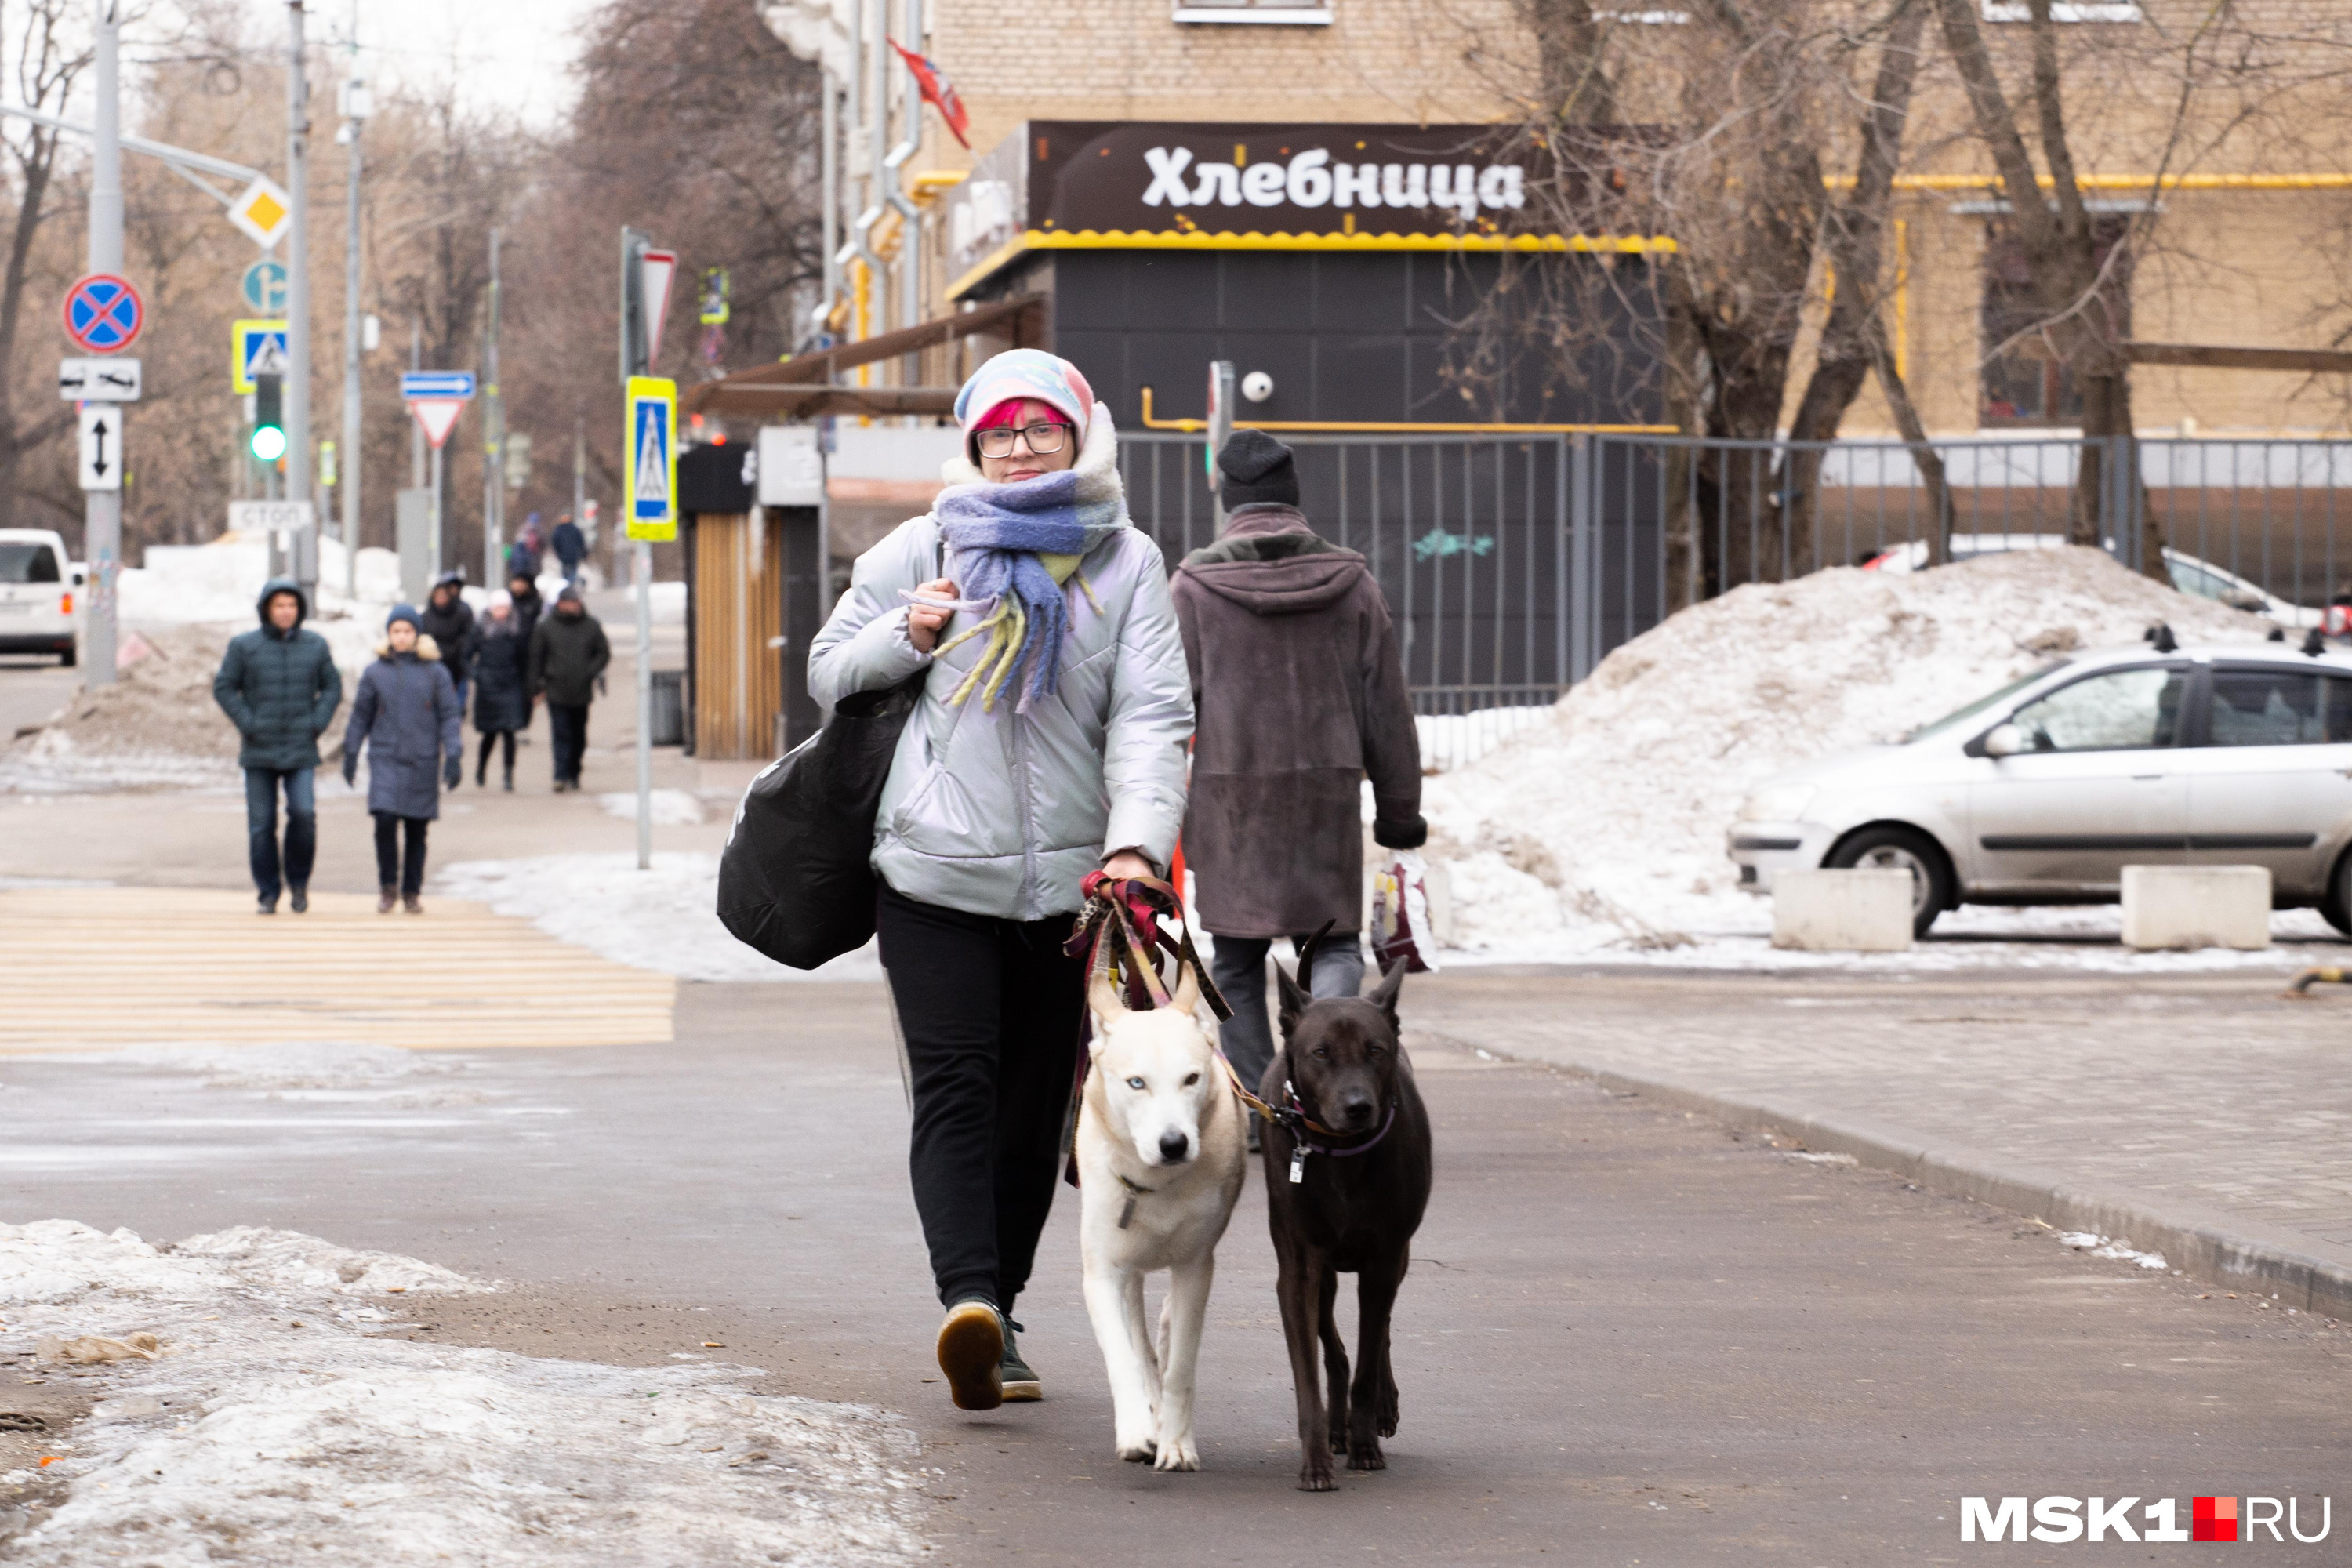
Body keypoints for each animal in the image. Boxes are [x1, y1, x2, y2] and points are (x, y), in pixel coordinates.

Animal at [1077, 968, 1251, 1476]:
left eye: (1191, 1079)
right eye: (1137, 1083)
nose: (1174, 1143)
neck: (1154, 1184)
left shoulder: (1196, 1266)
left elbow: (1181, 1368)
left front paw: (1176, 1443)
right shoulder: (1103, 1274)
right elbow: (1125, 1358)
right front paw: (1137, 1432)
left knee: (1167, 1329)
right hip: (1130, 1269)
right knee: (1140, 1341)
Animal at [1261, 945, 1421, 1495]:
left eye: (1375, 1050)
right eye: (1321, 1053)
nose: (1358, 1107)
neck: (1343, 1155)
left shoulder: (1383, 1259)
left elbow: (1370, 1359)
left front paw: (1367, 1443)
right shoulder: (1300, 1268)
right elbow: (1310, 1369)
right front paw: (1316, 1457)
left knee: (1381, 1330)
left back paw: (1377, 1414)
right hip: (1325, 1268)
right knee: (1333, 1344)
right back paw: (1336, 1428)